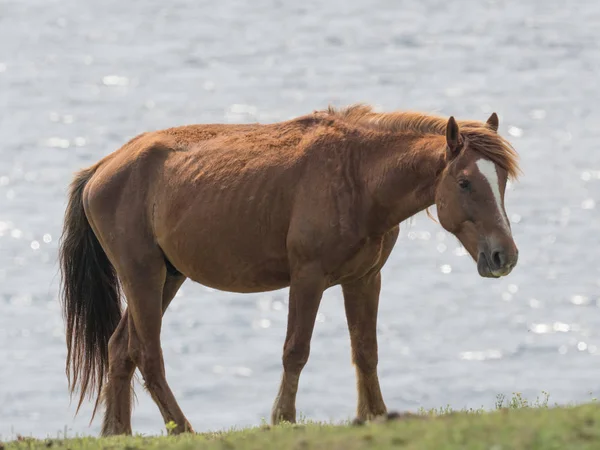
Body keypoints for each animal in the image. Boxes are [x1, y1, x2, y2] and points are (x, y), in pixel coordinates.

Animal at [59, 103, 520, 436]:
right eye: (464, 182)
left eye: (501, 181)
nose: (505, 256)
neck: (356, 176)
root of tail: (102, 168)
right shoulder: (308, 278)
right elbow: (295, 351)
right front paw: (283, 418)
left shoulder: (364, 279)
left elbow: (365, 350)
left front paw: (374, 415)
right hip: (142, 275)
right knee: (147, 354)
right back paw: (181, 429)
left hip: (167, 278)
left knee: (120, 348)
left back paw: (118, 432)